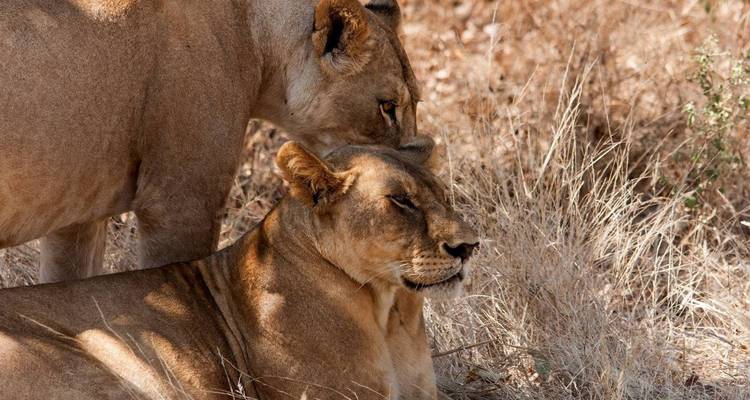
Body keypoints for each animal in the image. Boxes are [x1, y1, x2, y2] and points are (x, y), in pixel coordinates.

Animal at [0, 0, 420, 283]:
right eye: (387, 107)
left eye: (415, 102)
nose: (415, 168)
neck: (254, 34)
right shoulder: (181, 206)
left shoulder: (77, 213)